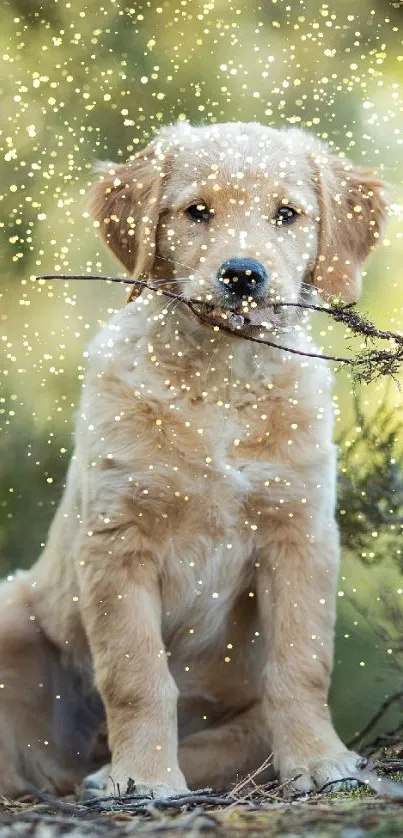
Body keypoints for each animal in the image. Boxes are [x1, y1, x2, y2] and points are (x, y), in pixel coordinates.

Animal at [0, 120, 388, 800]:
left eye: (287, 214)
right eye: (197, 212)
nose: (242, 275)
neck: (221, 380)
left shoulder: (300, 533)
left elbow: (302, 663)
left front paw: (320, 762)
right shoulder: (116, 541)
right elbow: (137, 674)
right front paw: (146, 779)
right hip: (12, 614)